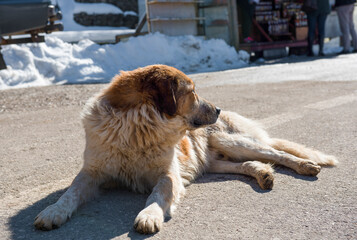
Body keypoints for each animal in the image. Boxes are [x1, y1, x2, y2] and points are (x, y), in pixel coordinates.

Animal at [34, 64, 336, 233]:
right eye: (191, 92)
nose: (217, 108)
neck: (134, 128)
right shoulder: (92, 172)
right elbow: (71, 193)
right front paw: (53, 212)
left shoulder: (169, 174)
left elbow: (157, 193)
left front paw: (149, 215)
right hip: (216, 161)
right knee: (247, 164)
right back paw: (263, 175)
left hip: (231, 141)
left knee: (277, 153)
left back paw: (305, 166)